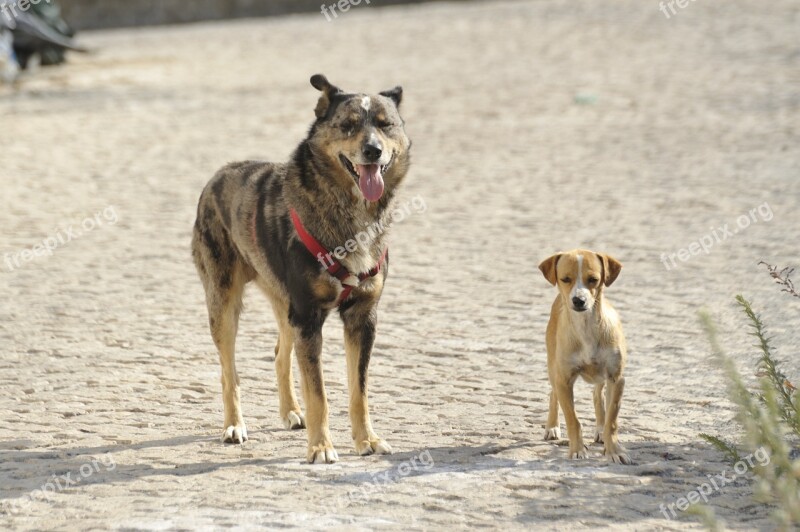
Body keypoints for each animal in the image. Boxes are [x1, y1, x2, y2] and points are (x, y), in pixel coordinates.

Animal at [191, 74, 410, 462]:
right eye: (348, 124)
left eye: (386, 125)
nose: (373, 150)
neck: (349, 213)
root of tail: (221, 172)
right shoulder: (309, 316)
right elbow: (319, 393)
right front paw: (321, 447)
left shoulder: (362, 316)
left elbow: (359, 389)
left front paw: (366, 440)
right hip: (224, 302)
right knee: (229, 370)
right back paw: (234, 426)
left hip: (285, 303)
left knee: (280, 353)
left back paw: (292, 412)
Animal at [536, 251, 632, 464]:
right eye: (565, 279)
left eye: (593, 280)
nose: (578, 300)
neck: (586, 328)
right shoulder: (564, 381)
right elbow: (573, 420)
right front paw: (577, 450)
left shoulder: (616, 378)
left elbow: (612, 420)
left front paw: (614, 450)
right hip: (553, 368)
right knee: (553, 394)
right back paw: (552, 427)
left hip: (601, 377)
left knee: (597, 395)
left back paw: (600, 430)